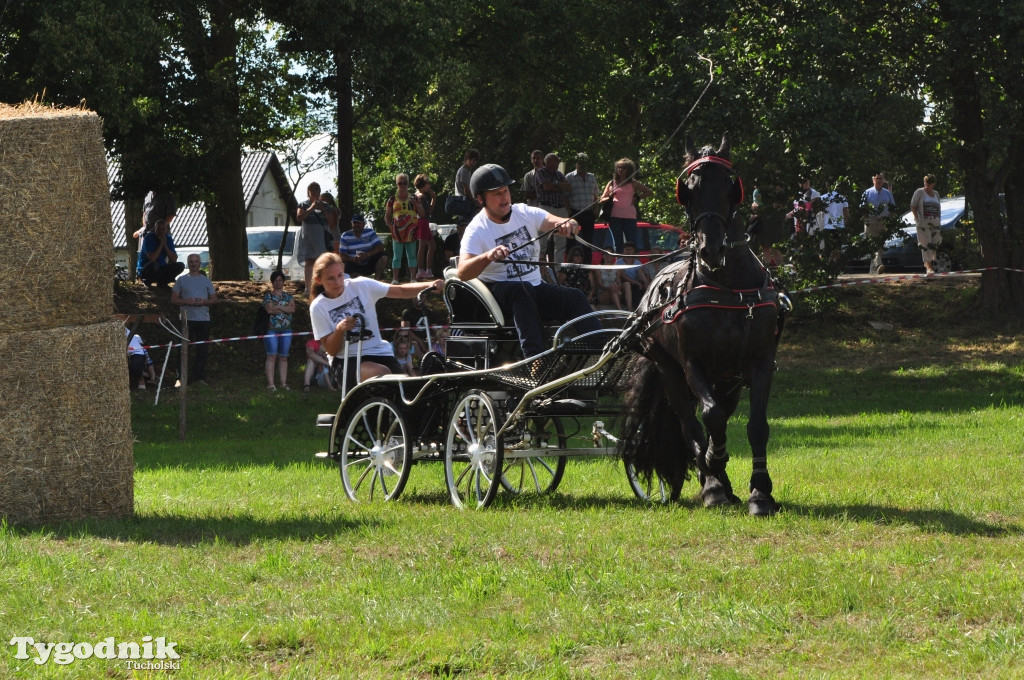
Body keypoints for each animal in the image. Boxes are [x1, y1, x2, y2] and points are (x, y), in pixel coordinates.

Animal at [614, 133, 790, 516]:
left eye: (729, 186)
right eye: (689, 191)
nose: (711, 249)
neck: (727, 285)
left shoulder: (760, 362)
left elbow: (757, 426)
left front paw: (760, 492)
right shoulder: (692, 363)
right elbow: (709, 418)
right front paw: (711, 469)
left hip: (728, 381)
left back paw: (723, 483)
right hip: (669, 371)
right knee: (690, 423)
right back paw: (712, 484)